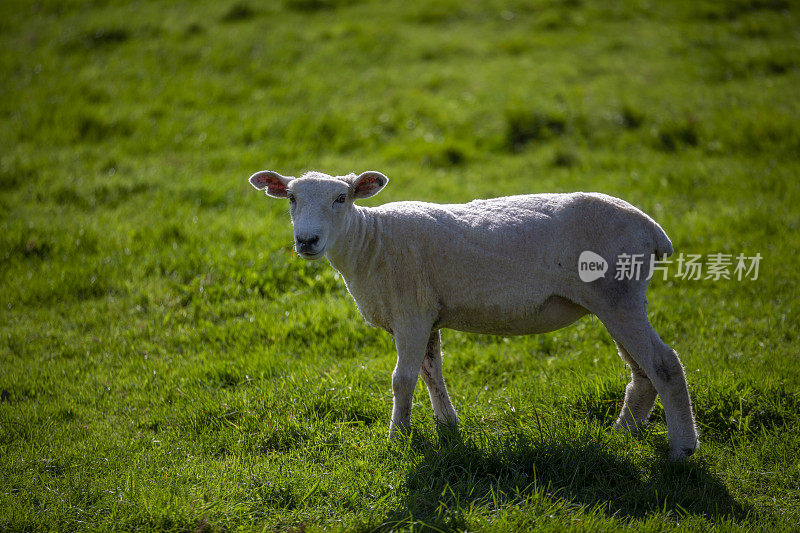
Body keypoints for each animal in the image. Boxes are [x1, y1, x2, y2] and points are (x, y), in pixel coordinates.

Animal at [250, 168, 700, 460]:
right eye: (291, 198)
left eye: (341, 198)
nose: (307, 241)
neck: (371, 242)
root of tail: (652, 229)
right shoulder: (425, 312)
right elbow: (432, 371)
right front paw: (447, 426)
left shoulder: (411, 312)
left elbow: (402, 379)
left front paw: (398, 438)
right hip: (616, 300)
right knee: (641, 372)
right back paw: (623, 434)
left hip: (618, 294)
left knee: (663, 364)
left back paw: (682, 449)